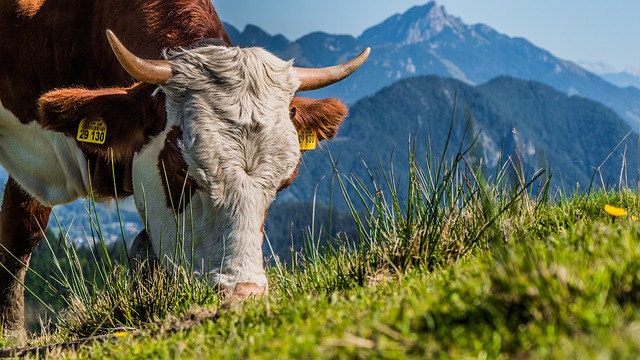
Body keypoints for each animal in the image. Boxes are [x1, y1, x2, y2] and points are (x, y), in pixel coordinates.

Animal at [0, 0, 370, 338]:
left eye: (285, 183)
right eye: (181, 169)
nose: (243, 295)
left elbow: (145, 250)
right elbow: (20, 234)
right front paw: (11, 334)